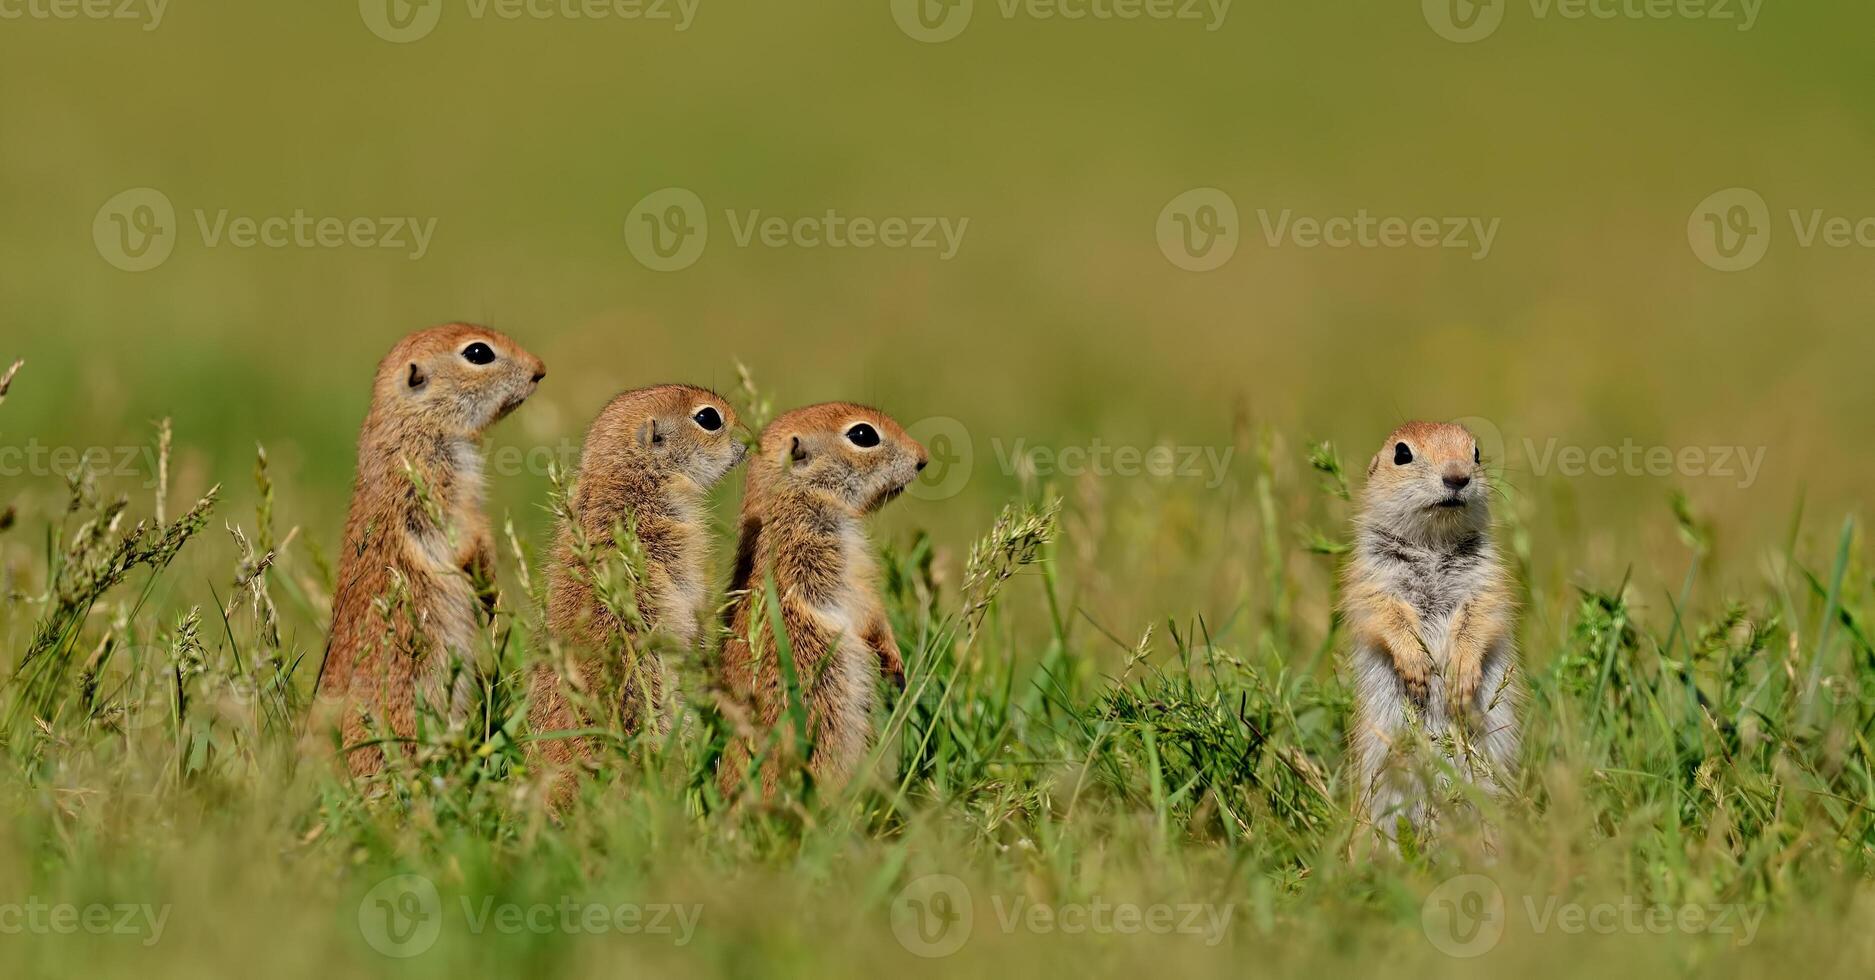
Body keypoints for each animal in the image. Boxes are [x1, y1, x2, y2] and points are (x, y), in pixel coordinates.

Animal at [315, 326, 547, 779]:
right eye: (478, 353)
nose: (540, 370)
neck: (415, 420)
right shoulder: (434, 484)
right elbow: (464, 536)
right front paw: (489, 590)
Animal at [712, 402, 926, 801]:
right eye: (863, 435)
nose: (923, 458)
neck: (797, 493)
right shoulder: (818, 552)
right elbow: (860, 607)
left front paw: (895, 667)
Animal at [1342, 419, 1515, 843]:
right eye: (1402, 453)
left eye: (1476, 453)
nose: (1458, 476)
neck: (1432, 543)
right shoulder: (1371, 583)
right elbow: (1386, 617)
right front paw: (1417, 668)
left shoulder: (1486, 584)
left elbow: (1479, 620)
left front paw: (1459, 677)